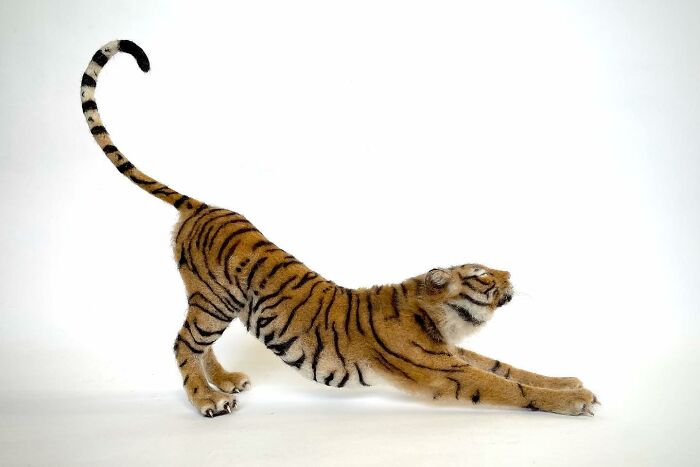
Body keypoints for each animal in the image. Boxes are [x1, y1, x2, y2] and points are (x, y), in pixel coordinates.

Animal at [80, 40, 598, 417]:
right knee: (182, 343)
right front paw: (573, 399)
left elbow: (508, 366)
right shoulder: (443, 369)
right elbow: (504, 385)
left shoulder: (453, 352)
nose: (511, 275)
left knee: (197, 344)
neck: (435, 316)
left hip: (217, 304)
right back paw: (208, 399)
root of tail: (203, 205)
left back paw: (225, 381)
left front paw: (569, 380)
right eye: (482, 276)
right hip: (212, 301)